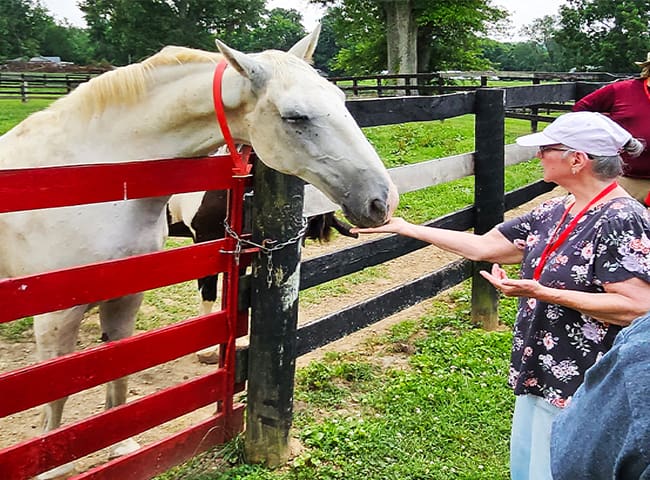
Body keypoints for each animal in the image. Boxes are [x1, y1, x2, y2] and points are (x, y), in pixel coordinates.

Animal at [0, 26, 398, 479]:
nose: (382, 200)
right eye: (295, 117)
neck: (83, 179)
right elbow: (55, 392)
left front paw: (121, 446)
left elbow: (119, 366)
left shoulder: (126, 295)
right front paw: (50, 467)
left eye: (339, 98)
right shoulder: (56, 314)